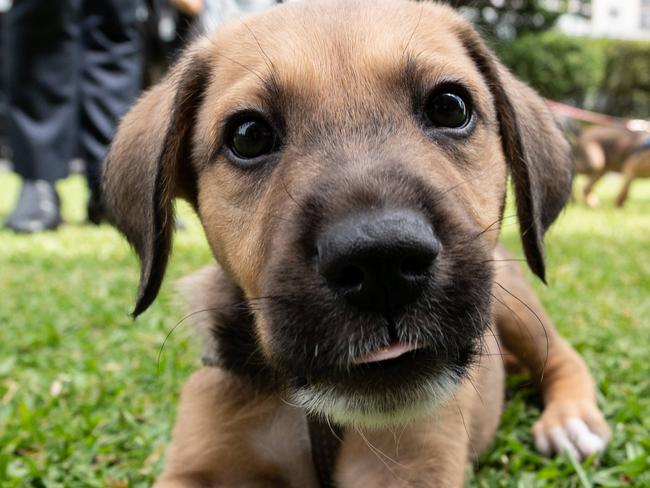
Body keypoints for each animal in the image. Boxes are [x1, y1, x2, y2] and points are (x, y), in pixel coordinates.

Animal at [102, 1, 608, 486]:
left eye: (450, 107)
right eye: (248, 135)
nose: (382, 263)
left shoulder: (410, 470)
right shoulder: (196, 462)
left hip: (513, 302)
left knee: (559, 353)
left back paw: (570, 420)